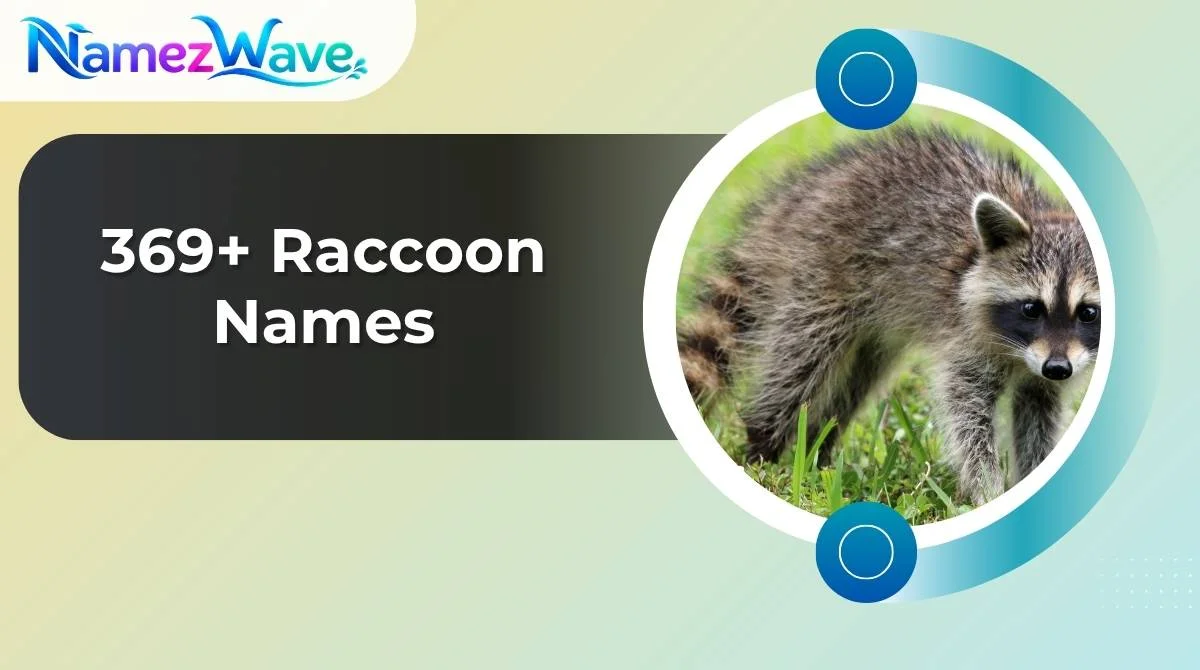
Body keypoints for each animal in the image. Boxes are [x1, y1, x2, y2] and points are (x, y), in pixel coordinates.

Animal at [678, 126, 1099, 505]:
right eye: (1031, 308)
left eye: (1089, 313)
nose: (1057, 368)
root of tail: (796, 198)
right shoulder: (966, 336)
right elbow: (966, 410)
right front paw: (986, 487)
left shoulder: (1045, 375)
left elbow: (1039, 417)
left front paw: (1034, 472)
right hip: (820, 272)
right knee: (799, 361)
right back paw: (763, 442)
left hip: (873, 324)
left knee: (857, 380)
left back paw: (816, 445)